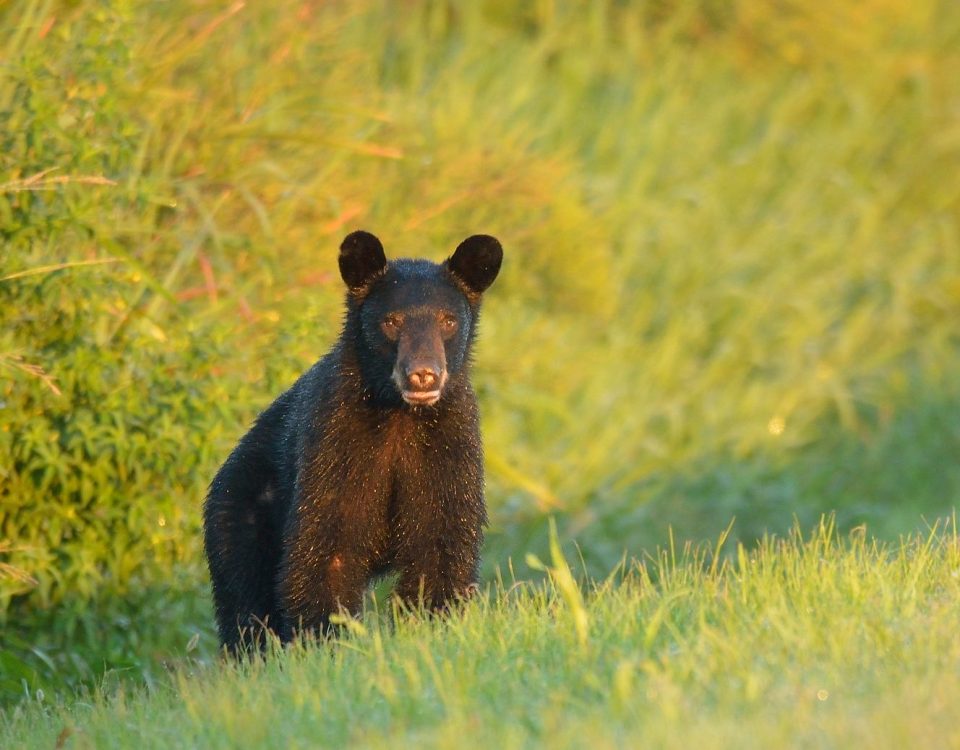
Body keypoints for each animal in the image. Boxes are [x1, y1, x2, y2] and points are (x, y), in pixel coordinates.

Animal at [202, 231, 502, 652]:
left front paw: (430, 627)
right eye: (391, 321)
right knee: (245, 605)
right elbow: (327, 543)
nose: (423, 375)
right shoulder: (335, 440)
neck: (399, 416)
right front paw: (326, 641)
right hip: (241, 514)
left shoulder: (451, 443)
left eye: (448, 320)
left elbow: (439, 542)